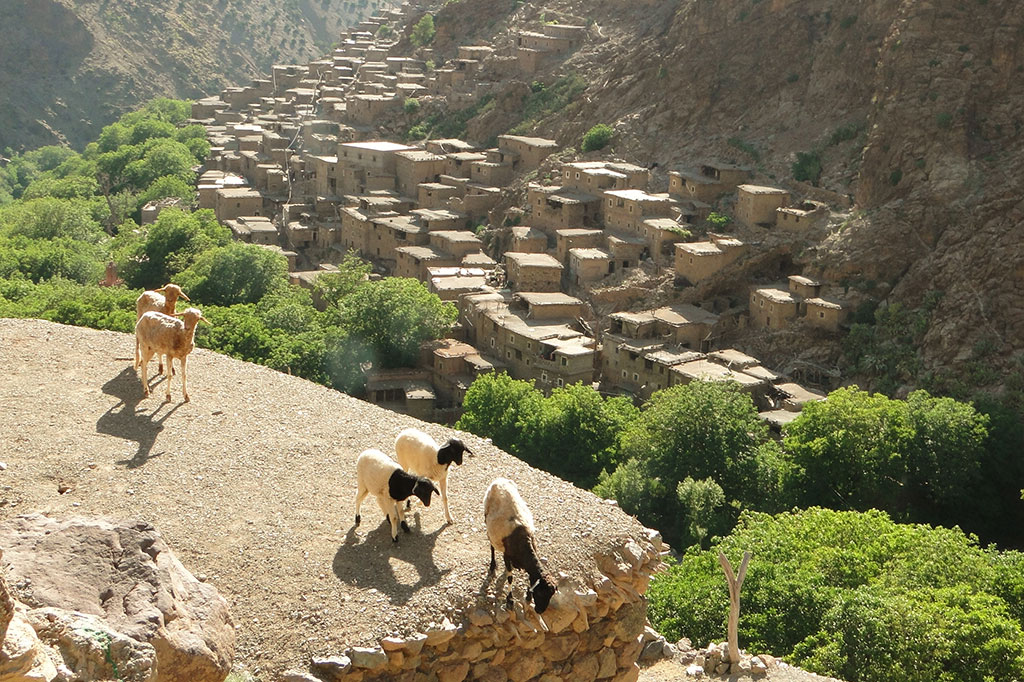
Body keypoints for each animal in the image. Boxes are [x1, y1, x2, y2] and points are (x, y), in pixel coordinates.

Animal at [483, 475, 557, 614]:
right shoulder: (507, 556)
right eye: (540, 593)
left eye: (550, 595)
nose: (540, 611)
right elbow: (510, 578)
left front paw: (528, 597)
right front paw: (510, 600)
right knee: (491, 545)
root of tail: (499, 480)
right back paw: (492, 565)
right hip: (486, 517)